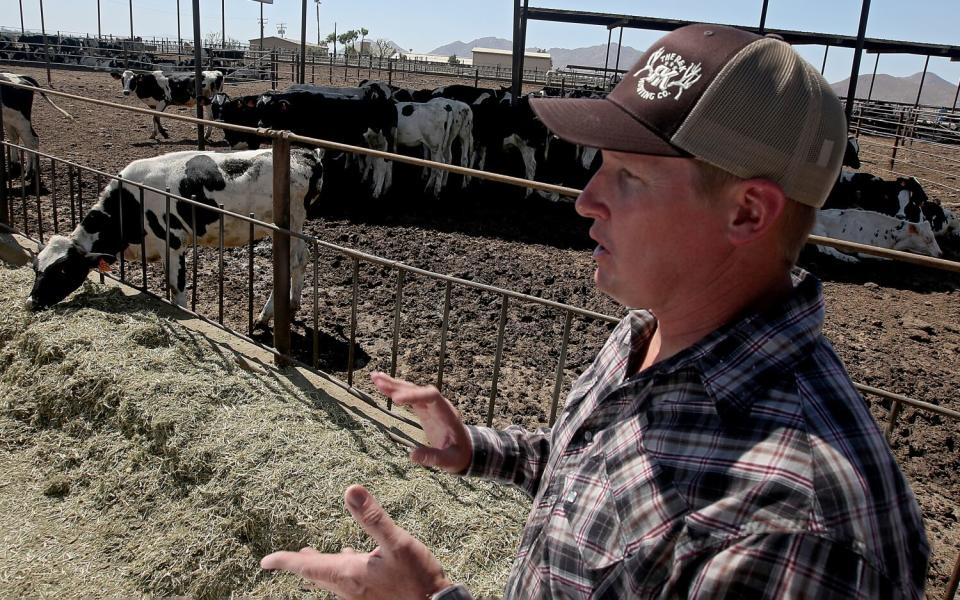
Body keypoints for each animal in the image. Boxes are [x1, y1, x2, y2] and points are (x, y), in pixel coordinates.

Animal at [25, 147, 326, 326]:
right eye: (36, 268)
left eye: (63, 270)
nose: (30, 303)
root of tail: (305, 153)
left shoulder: (173, 243)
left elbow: (177, 287)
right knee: (301, 258)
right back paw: (291, 305)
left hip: (289, 224)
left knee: (292, 262)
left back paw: (265, 317)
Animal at [808, 207, 944, 262]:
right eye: (927, 239)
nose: (940, 253)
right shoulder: (865, 250)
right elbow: (887, 257)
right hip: (821, 232)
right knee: (827, 249)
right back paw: (849, 258)